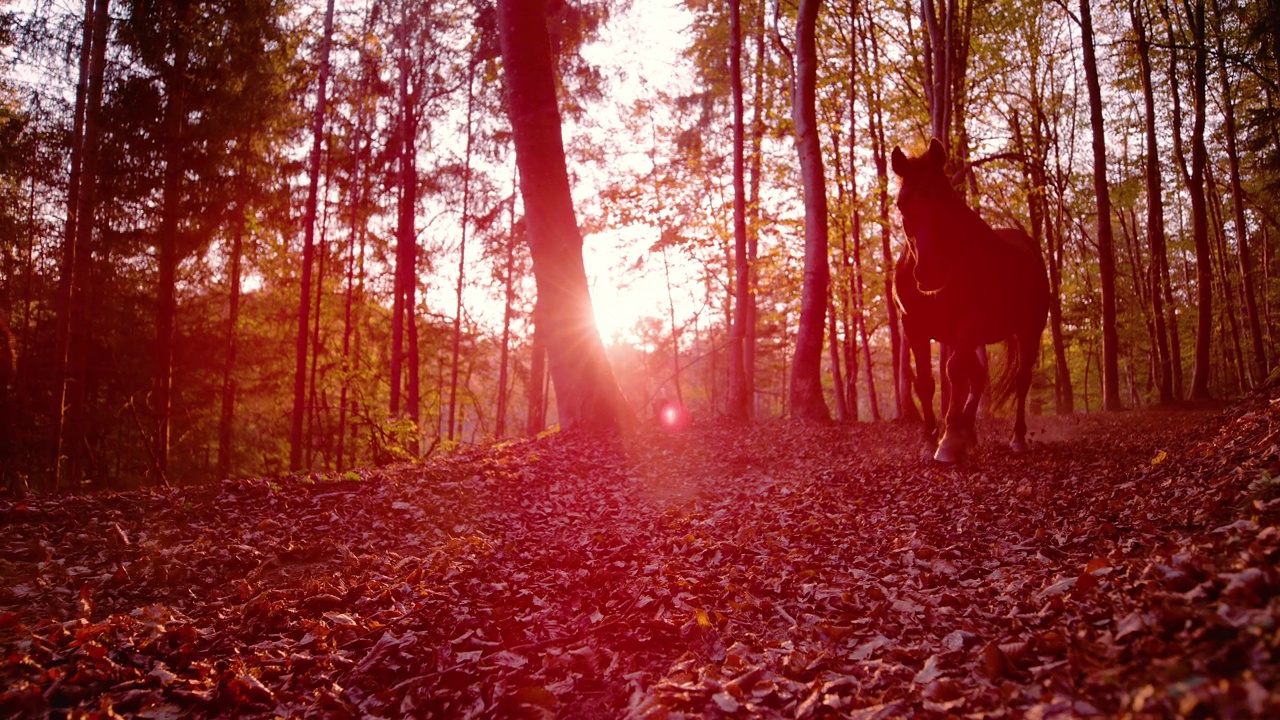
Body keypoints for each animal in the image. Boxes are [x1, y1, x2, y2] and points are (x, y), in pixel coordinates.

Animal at [890, 137, 1049, 461]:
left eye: (946, 200)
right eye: (901, 205)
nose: (930, 272)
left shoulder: (966, 324)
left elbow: (954, 373)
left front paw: (949, 440)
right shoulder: (915, 329)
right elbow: (926, 382)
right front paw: (930, 439)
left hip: (1028, 331)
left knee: (1020, 380)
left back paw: (1016, 438)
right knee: (977, 378)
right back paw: (969, 435)